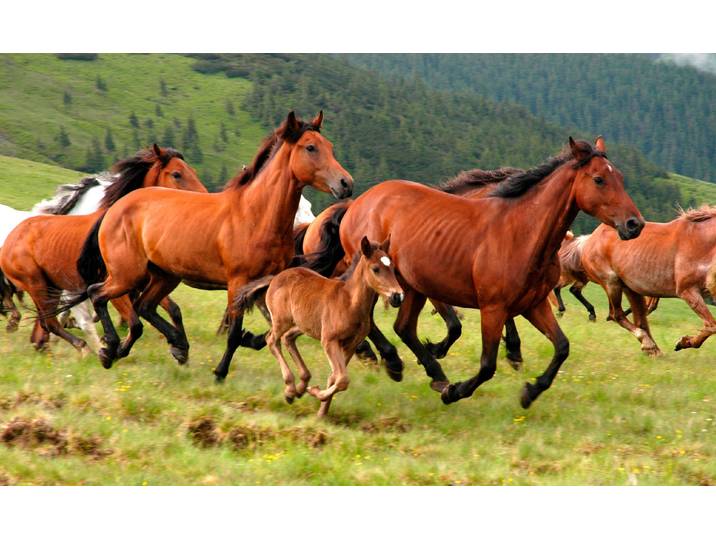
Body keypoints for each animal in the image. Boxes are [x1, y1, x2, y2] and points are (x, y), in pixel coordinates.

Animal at [1, 145, 206, 356]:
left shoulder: (142, 282)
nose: (203, 199)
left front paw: (179, 348)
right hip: (37, 284)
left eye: (194, 171)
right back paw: (78, 347)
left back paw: (45, 342)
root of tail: (11, 238)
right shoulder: (114, 285)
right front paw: (110, 346)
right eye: (176, 174)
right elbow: (132, 321)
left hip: (51, 286)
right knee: (51, 321)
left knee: (46, 320)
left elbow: (171, 310)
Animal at [72, 111, 353, 378]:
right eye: (311, 147)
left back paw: (162, 347)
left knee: (143, 307)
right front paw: (220, 372)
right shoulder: (238, 283)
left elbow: (271, 330)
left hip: (164, 276)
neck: (255, 216)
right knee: (98, 294)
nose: (346, 183)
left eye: (330, 146)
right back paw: (111, 348)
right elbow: (235, 334)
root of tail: (115, 209)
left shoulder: (264, 284)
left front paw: (250, 339)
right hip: (127, 275)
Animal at [237, 236, 403, 416]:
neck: (349, 302)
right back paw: (290, 389)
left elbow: (335, 377)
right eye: (376, 269)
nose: (398, 296)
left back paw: (301, 386)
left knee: (288, 338)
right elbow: (342, 379)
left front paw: (321, 413)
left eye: (392, 268)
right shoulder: (329, 341)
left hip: (304, 325)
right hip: (281, 321)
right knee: (272, 340)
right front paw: (316, 393)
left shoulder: (350, 344)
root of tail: (275, 278)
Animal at [314, 137, 644, 408]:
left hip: (412, 287)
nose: (634, 224)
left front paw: (530, 392)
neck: (522, 232)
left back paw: (431, 372)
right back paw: (397, 364)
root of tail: (358, 202)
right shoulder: (493, 308)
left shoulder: (534, 305)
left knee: (404, 328)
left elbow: (562, 347)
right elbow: (487, 364)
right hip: (380, 280)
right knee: (374, 321)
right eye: (599, 179)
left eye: (620, 178)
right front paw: (456, 392)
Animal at [580, 206, 716, 355]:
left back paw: (653, 348)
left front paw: (685, 342)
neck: (701, 242)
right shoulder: (687, 290)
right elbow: (712, 325)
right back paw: (649, 345)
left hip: (630, 288)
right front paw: (684, 342)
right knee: (618, 315)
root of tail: (591, 237)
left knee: (639, 319)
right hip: (611, 283)